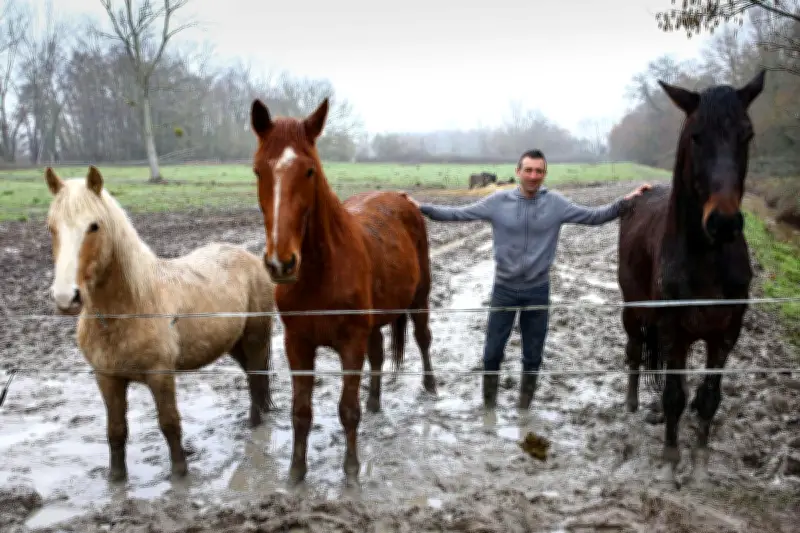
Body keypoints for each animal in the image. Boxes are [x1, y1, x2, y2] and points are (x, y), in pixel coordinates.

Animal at [44, 166, 276, 482]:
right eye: (51, 227)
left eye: (94, 226)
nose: (66, 297)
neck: (128, 310)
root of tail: (249, 257)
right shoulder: (107, 378)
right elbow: (116, 431)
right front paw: (116, 479)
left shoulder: (160, 376)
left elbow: (169, 424)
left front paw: (180, 474)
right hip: (234, 343)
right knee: (254, 378)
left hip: (255, 337)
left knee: (256, 376)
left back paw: (254, 424)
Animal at [249, 97, 436, 486]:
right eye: (258, 171)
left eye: (309, 171)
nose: (281, 263)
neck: (320, 274)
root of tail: (403, 199)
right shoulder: (297, 345)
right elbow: (301, 411)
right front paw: (296, 471)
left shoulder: (350, 342)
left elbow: (348, 409)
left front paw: (351, 470)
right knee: (378, 354)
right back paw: (376, 401)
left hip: (419, 298)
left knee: (423, 338)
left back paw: (430, 386)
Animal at [617, 70, 765, 487]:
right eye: (697, 135)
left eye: (747, 134)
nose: (724, 222)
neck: (706, 260)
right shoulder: (672, 329)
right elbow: (673, 397)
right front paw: (670, 462)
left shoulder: (726, 333)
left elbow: (708, 397)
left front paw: (699, 461)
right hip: (633, 310)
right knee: (634, 351)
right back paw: (632, 404)